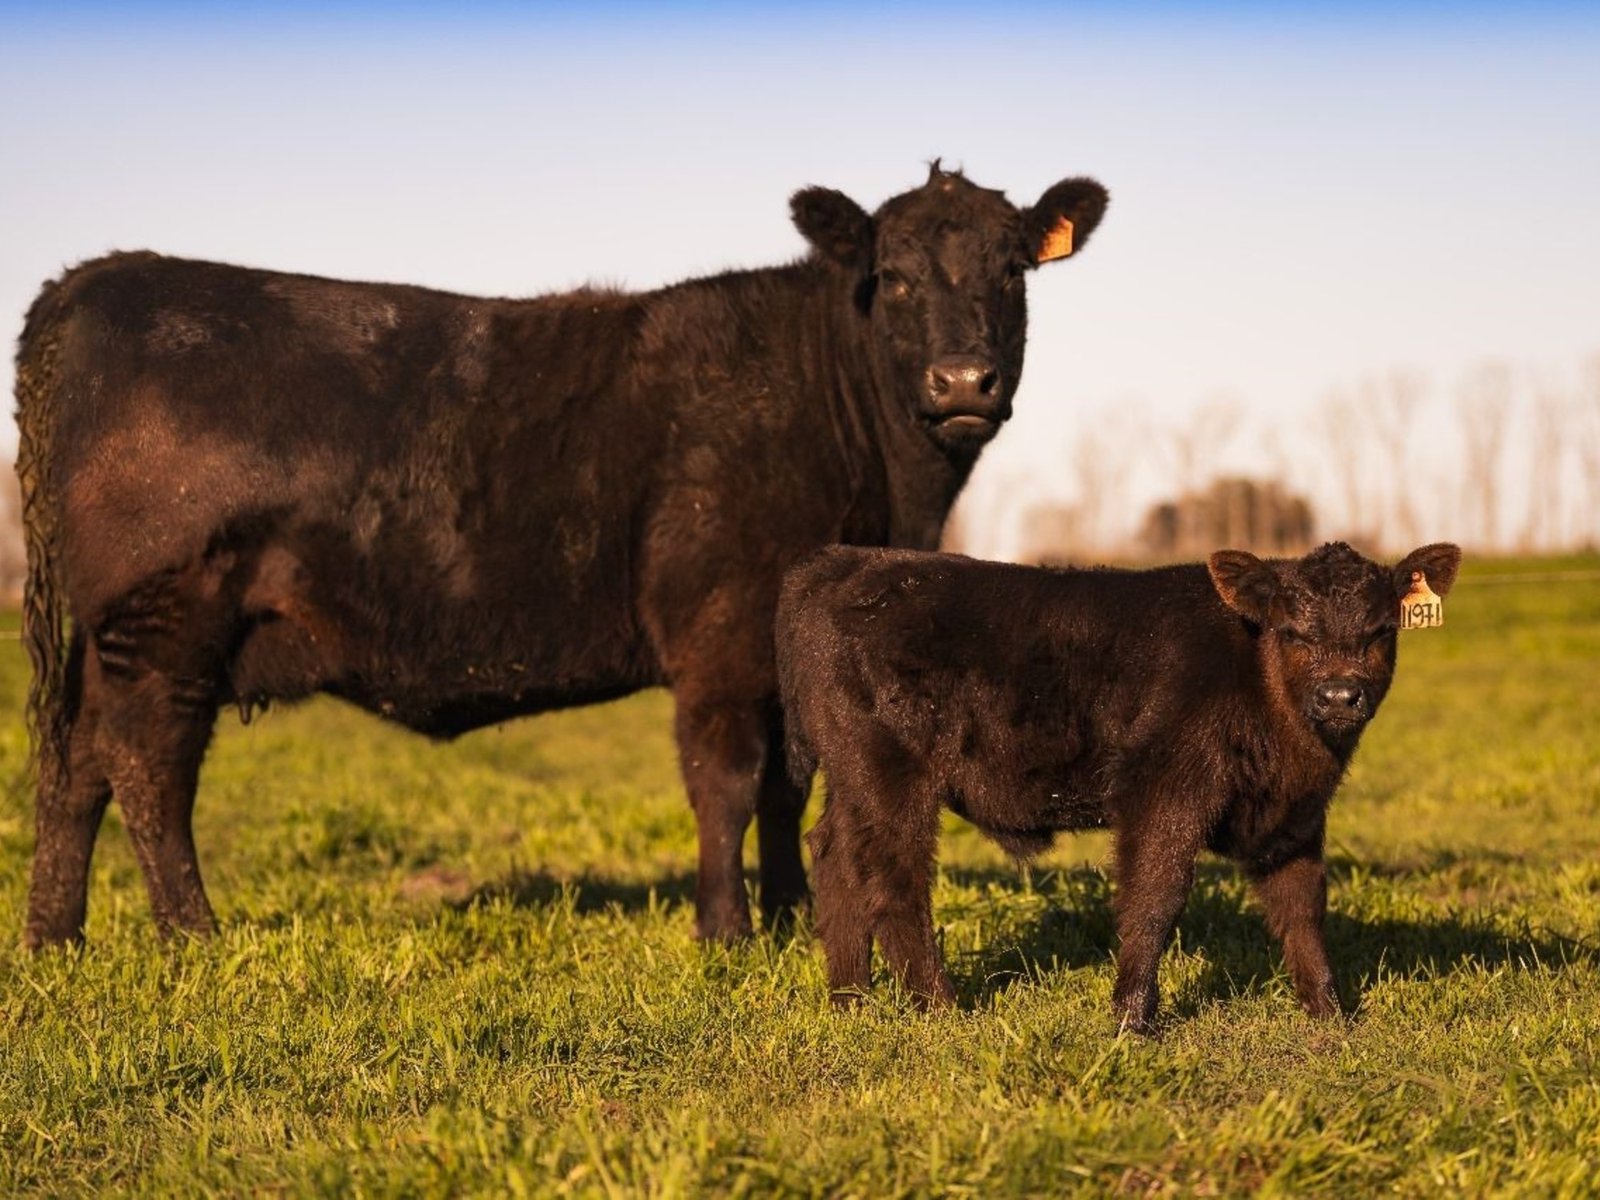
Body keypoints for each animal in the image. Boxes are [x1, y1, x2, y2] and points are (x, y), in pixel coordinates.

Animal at [12, 162, 1107, 947]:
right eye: (897, 277)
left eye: (1013, 271)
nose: (961, 380)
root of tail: (95, 278)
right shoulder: (718, 632)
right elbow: (726, 776)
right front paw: (727, 933)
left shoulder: (783, 651)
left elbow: (788, 785)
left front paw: (794, 918)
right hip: (165, 617)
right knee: (145, 764)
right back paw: (192, 934)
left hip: (115, 636)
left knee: (75, 767)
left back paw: (55, 940)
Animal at [774, 540, 1465, 1030]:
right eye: (1293, 631)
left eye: (1382, 630)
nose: (1340, 695)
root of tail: (844, 560)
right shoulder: (1164, 788)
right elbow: (1156, 896)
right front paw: (1131, 1019)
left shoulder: (1294, 815)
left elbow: (1302, 906)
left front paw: (1331, 1013)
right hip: (891, 771)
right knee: (893, 877)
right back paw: (941, 1008)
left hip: (852, 777)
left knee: (834, 856)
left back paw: (851, 1002)